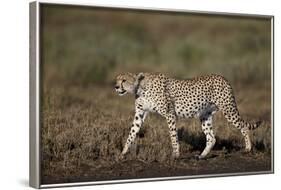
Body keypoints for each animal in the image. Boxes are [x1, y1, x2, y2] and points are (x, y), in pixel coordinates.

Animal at [114, 73, 260, 160]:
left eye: (124, 80)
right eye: (117, 79)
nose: (115, 87)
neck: (140, 88)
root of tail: (222, 77)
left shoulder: (170, 114)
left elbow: (173, 136)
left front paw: (175, 155)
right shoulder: (140, 114)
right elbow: (132, 133)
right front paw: (123, 152)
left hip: (228, 110)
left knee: (243, 127)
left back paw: (248, 148)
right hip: (205, 115)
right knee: (211, 138)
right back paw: (201, 156)